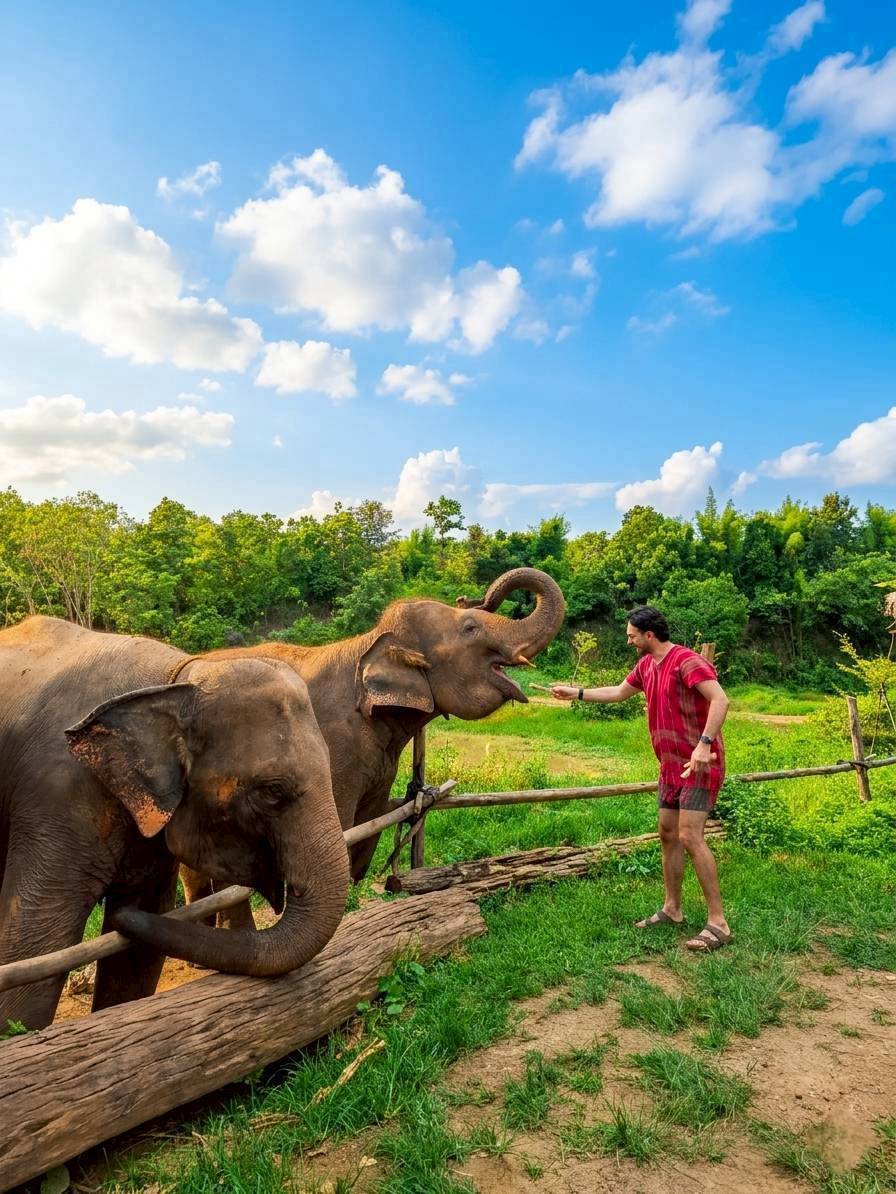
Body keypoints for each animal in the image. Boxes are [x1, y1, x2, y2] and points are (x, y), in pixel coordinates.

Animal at [0, 616, 350, 1030]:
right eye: (273, 791)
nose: (117, 915)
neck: (178, 679)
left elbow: (138, 948)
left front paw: (125, 916)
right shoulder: (59, 793)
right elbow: (34, 942)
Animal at [182, 567, 565, 907]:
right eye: (470, 627)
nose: (474, 596)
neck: (370, 640)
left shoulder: (380, 764)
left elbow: (368, 825)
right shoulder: (331, 749)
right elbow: (338, 829)